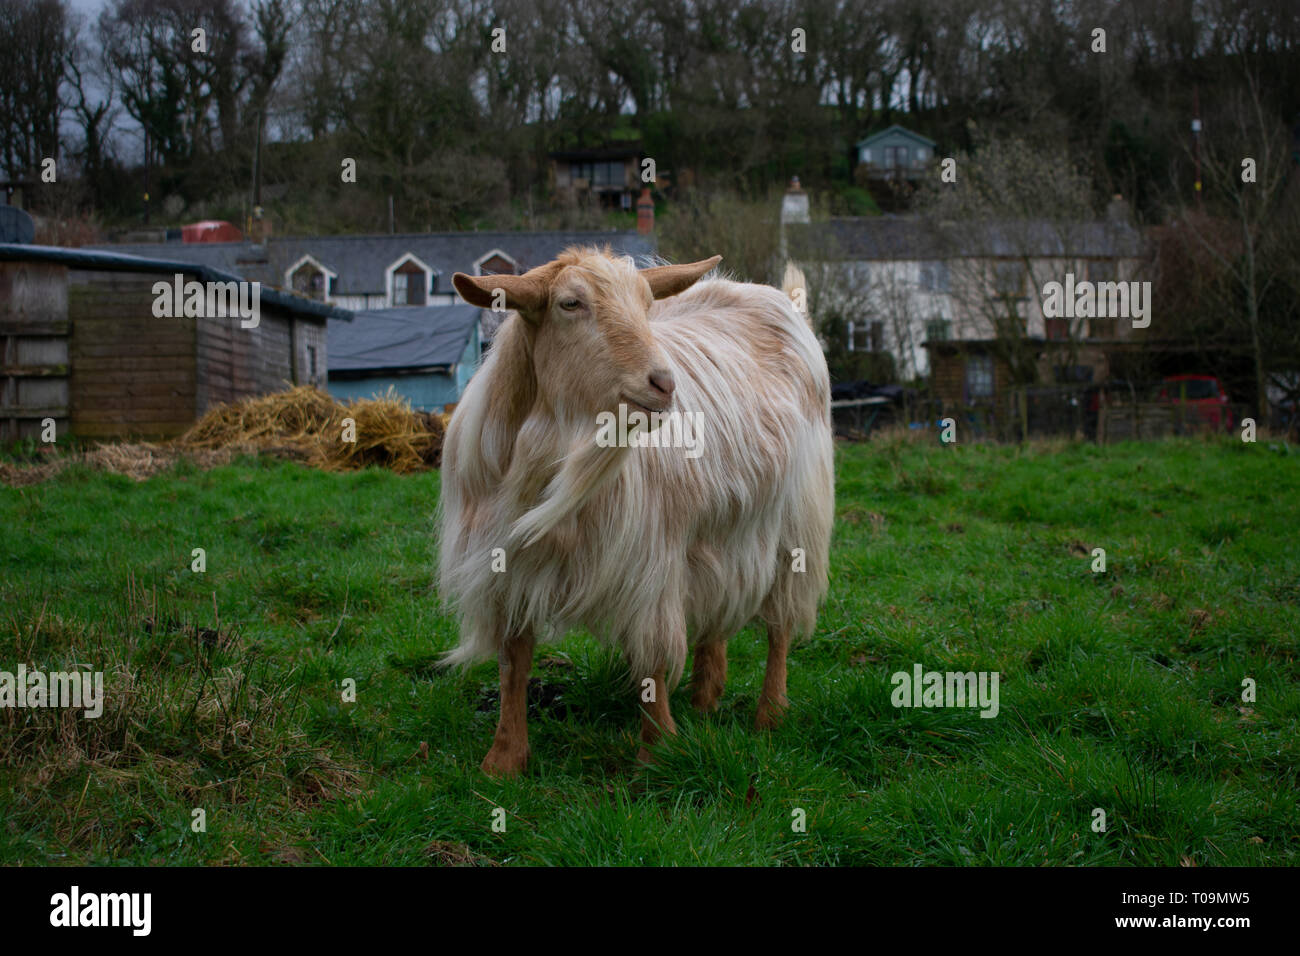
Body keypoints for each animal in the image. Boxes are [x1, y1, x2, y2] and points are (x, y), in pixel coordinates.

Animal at [440, 248, 834, 776]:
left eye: (647, 304)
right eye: (570, 303)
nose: (664, 384)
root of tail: (779, 299)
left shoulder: (650, 562)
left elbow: (653, 659)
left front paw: (657, 751)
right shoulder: (505, 567)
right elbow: (512, 662)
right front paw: (503, 759)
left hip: (796, 523)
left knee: (780, 624)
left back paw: (769, 713)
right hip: (717, 529)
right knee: (718, 606)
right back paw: (706, 697)